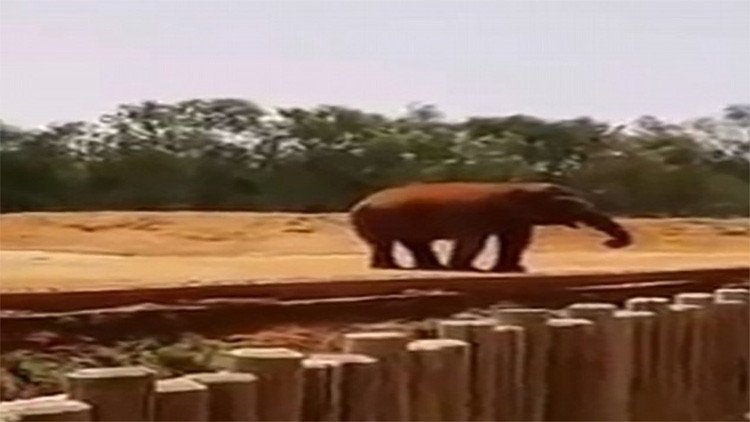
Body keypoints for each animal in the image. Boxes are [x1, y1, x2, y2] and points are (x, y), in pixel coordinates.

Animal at [348, 182, 632, 272]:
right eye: (570, 204)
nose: (611, 242)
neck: (526, 187)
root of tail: (358, 206)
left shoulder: (513, 218)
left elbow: (513, 240)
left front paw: (513, 270)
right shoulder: (492, 216)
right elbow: (479, 240)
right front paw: (467, 269)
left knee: (406, 242)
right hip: (383, 220)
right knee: (389, 242)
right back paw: (394, 268)